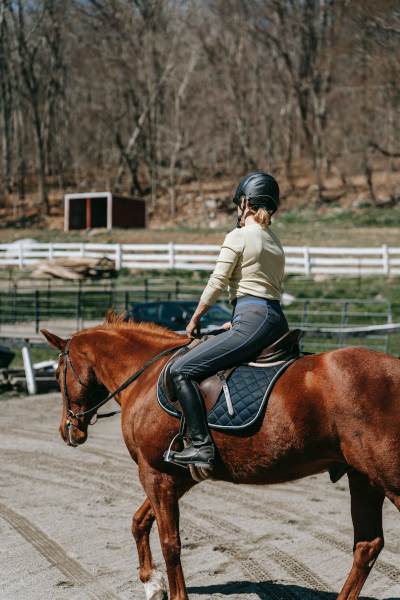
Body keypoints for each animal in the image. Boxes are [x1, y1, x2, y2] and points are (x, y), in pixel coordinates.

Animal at [41, 314, 400, 600]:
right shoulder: (177, 474)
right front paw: (151, 583)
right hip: (364, 478)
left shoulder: (154, 472)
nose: (67, 430)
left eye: (58, 373)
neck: (146, 376)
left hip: (387, 479)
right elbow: (139, 521)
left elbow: (170, 542)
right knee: (367, 545)